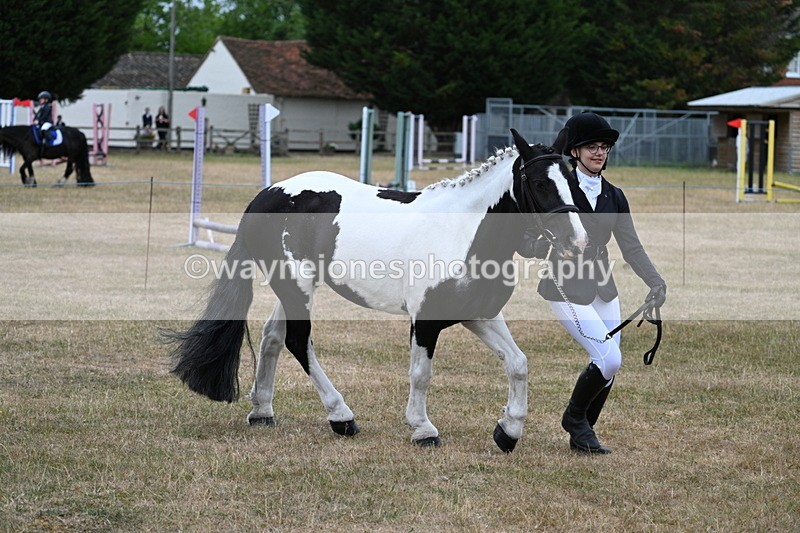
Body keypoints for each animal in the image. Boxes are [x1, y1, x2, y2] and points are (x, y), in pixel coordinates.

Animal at [166, 128, 588, 453]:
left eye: (574, 181)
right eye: (539, 183)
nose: (577, 240)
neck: (465, 231)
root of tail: (267, 194)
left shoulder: (478, 315)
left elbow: (518, 364)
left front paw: (508, 432)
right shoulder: (426, 320)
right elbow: (421, 374)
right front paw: (423, 429)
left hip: (295, 288)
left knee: (273, 337)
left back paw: (262, 412)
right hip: (295, 284)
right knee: (298, 342)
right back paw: (341, 417)